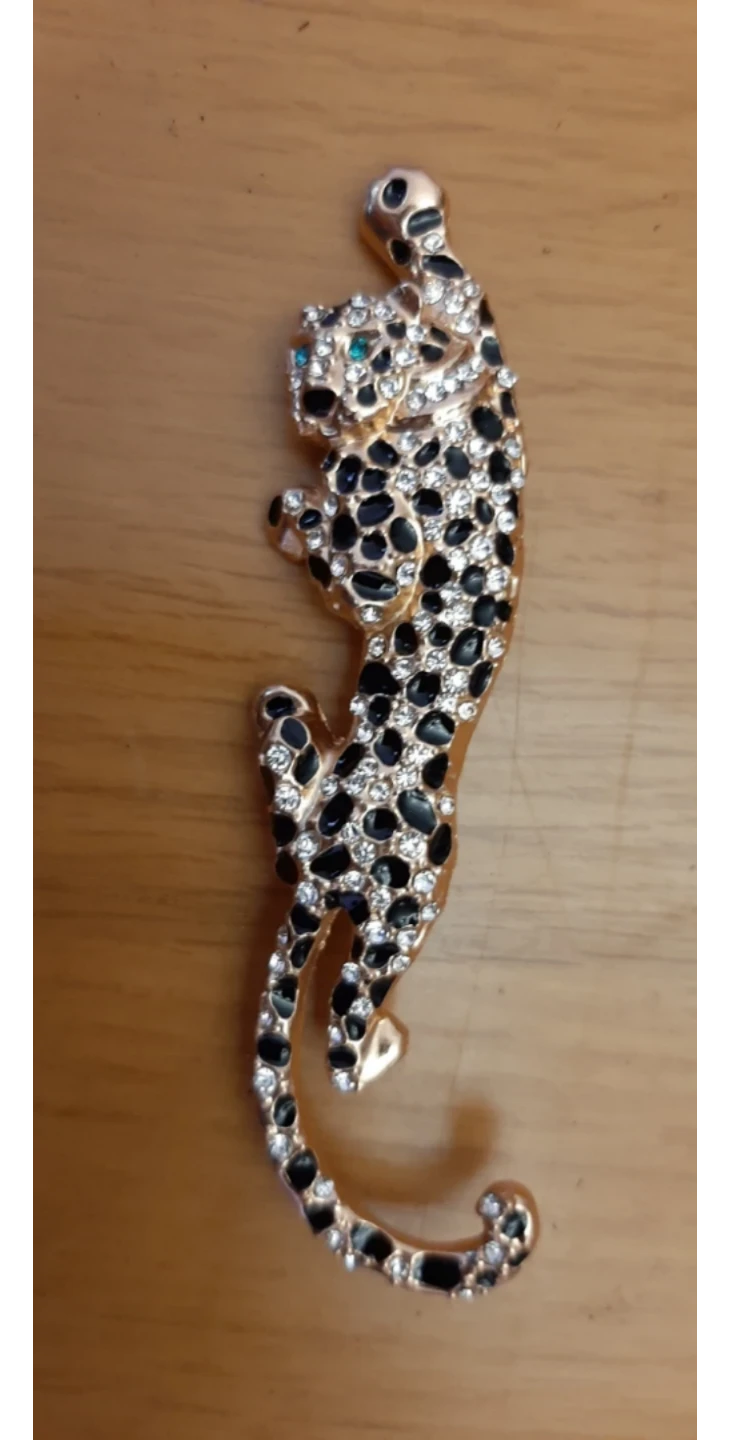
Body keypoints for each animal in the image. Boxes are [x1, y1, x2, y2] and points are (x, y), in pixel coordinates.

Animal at [253, 169, 537, 1297]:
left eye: (368, 353)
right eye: (304, 358)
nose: (321, 402)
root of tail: (330, 863)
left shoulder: (390, 537)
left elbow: (365, 574)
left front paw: (297, 514)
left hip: (410, 899)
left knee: (339, 1034)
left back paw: (376, 1051)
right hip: (346, 854)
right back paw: (285, 732)